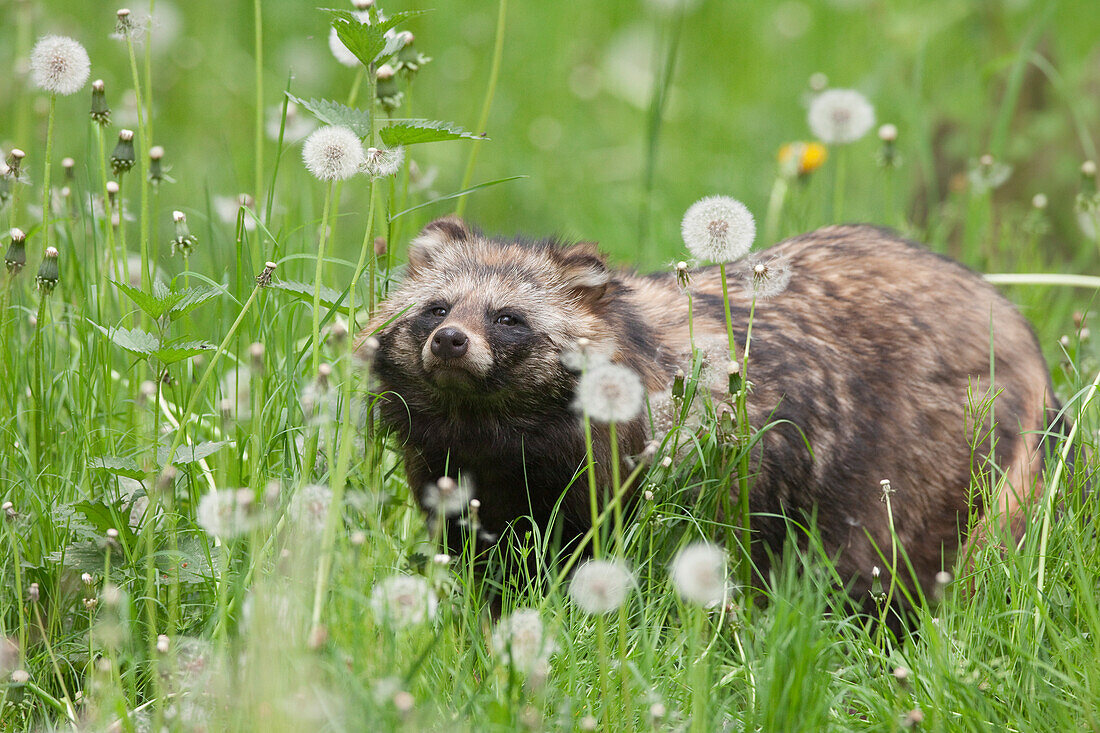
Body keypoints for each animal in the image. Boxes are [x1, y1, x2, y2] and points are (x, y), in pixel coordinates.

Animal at [360, 215, 1056, 603]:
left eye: (508, 318)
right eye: (437, 308)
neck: (491, 427)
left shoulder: (651, 467)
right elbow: (483, 563)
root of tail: (1009, 319)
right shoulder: (451, 475)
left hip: (922, 454)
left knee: (884, 557)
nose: (450, 341)